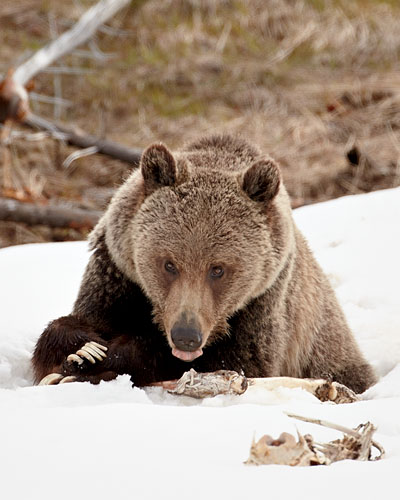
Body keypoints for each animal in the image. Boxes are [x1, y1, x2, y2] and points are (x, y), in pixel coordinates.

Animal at [32, 135, 376, 392]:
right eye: (169, 264)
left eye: (218, 269)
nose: (187, 334)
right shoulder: (116, 273)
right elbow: (79, 322)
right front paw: (82, 348)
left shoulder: (262, 302)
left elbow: (234, 364)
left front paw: (100, 361)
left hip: (325, 349)